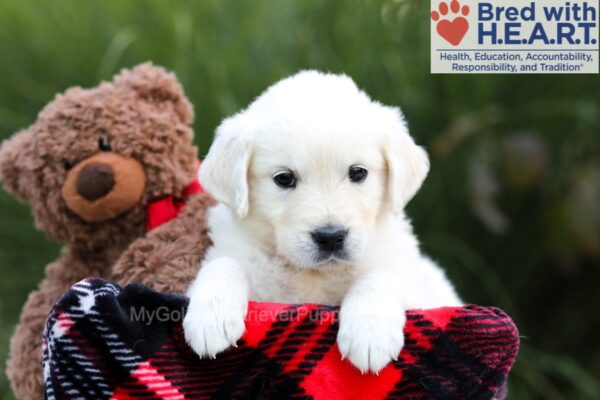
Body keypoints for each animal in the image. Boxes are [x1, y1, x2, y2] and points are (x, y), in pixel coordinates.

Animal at [185, 70, 462, 374]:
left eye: (358, 172)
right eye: (284, 178)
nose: (330, 237)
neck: (314, 274)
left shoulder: (415, 286)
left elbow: (380, 275)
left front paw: (369, 333)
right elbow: (224, 263)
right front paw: (211, 318)